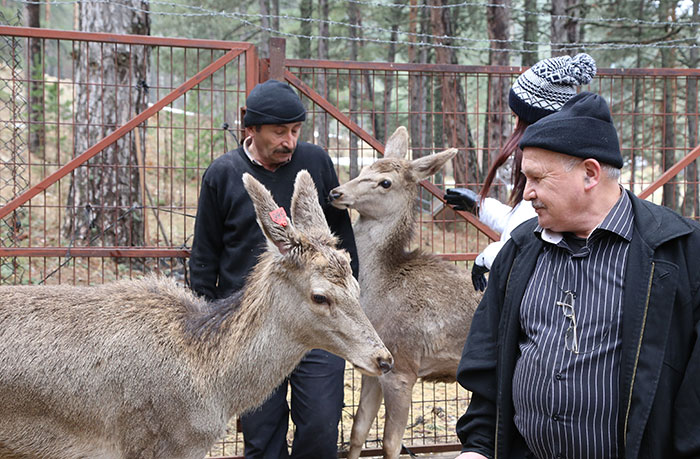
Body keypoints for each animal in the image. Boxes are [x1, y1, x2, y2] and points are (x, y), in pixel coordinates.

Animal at [328, 126, 482, 459]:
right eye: (364, 169)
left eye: (385, 182)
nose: (336, 192)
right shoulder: (373, 368)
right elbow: (358, 432)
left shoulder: (402, 365)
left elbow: (390, 443)